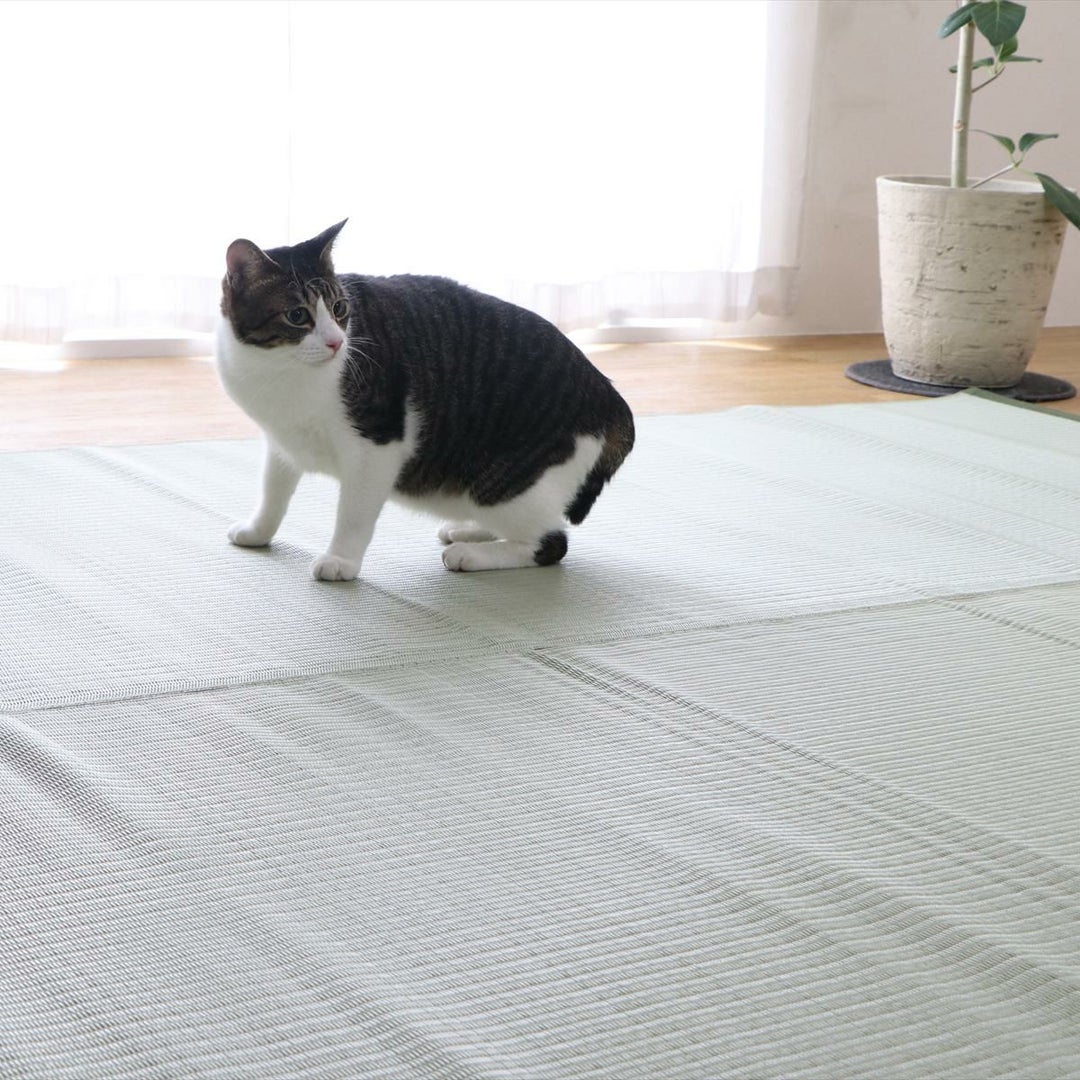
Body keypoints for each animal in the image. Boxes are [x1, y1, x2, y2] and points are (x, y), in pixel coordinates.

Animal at [215, 220, 635, 582]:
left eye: (339, 309)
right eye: (297, 315)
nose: (336, 342)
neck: (280, 371)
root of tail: (611, 398)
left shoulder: (376, 447)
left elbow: (353, 514)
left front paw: (341, 561)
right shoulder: (282, 440)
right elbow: (273, 493)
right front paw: (257, 531)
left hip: (502, 483)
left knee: (551, 542)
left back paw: (469, 554)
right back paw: (470, 532)